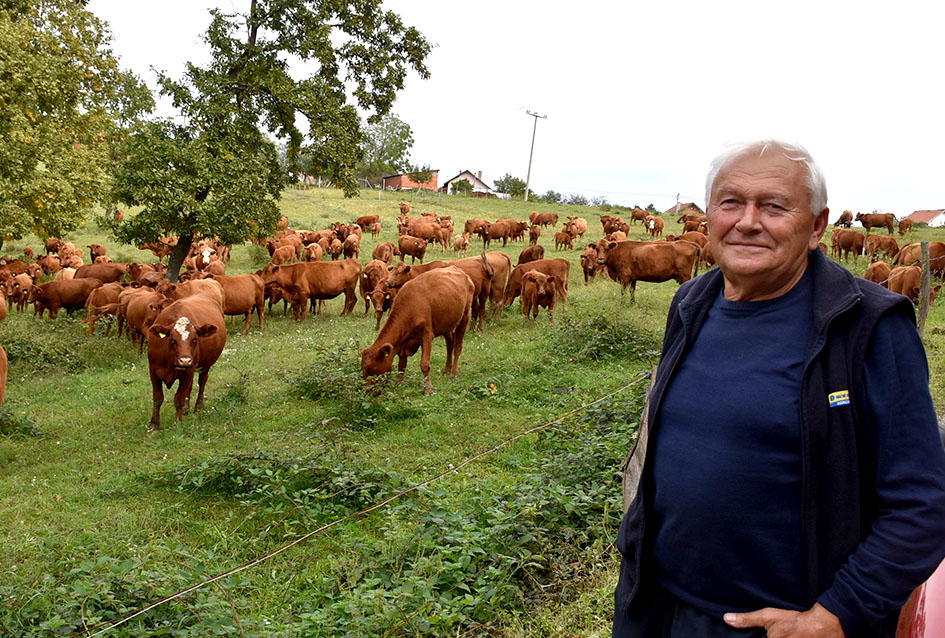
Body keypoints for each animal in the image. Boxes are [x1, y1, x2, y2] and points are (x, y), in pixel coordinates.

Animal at [148, 292, 229, 432]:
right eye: (172, 339)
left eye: (195, 339)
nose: (185, 360)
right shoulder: (153, 370)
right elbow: (157, 398)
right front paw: (154, 424)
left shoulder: (188, 371)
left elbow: (178, 399)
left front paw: (178, 423)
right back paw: (186, 409)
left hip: (203, 366)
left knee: (202, 381)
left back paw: (198, 407)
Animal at [364, 264, 476, 396]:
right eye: (363, 369)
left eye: (372, 369)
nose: (366, 392)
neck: (410, 305)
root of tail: (460, 271)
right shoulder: (404, 341)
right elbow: (401, 365)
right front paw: (398, 385)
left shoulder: (426, 336)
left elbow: (425, 365)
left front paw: (428, 389)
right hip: (446, 323)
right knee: (450, 344)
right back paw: (446, 369)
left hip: (465, 316)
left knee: (458, 346)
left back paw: (453, 373)